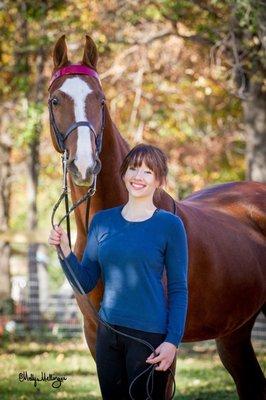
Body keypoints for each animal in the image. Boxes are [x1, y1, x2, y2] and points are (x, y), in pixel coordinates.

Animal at [48, 35, 266, 400]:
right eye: (55, 100)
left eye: (101, 101)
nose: (84, 165)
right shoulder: (97, 338)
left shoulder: (161, 352)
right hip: (234, 331)